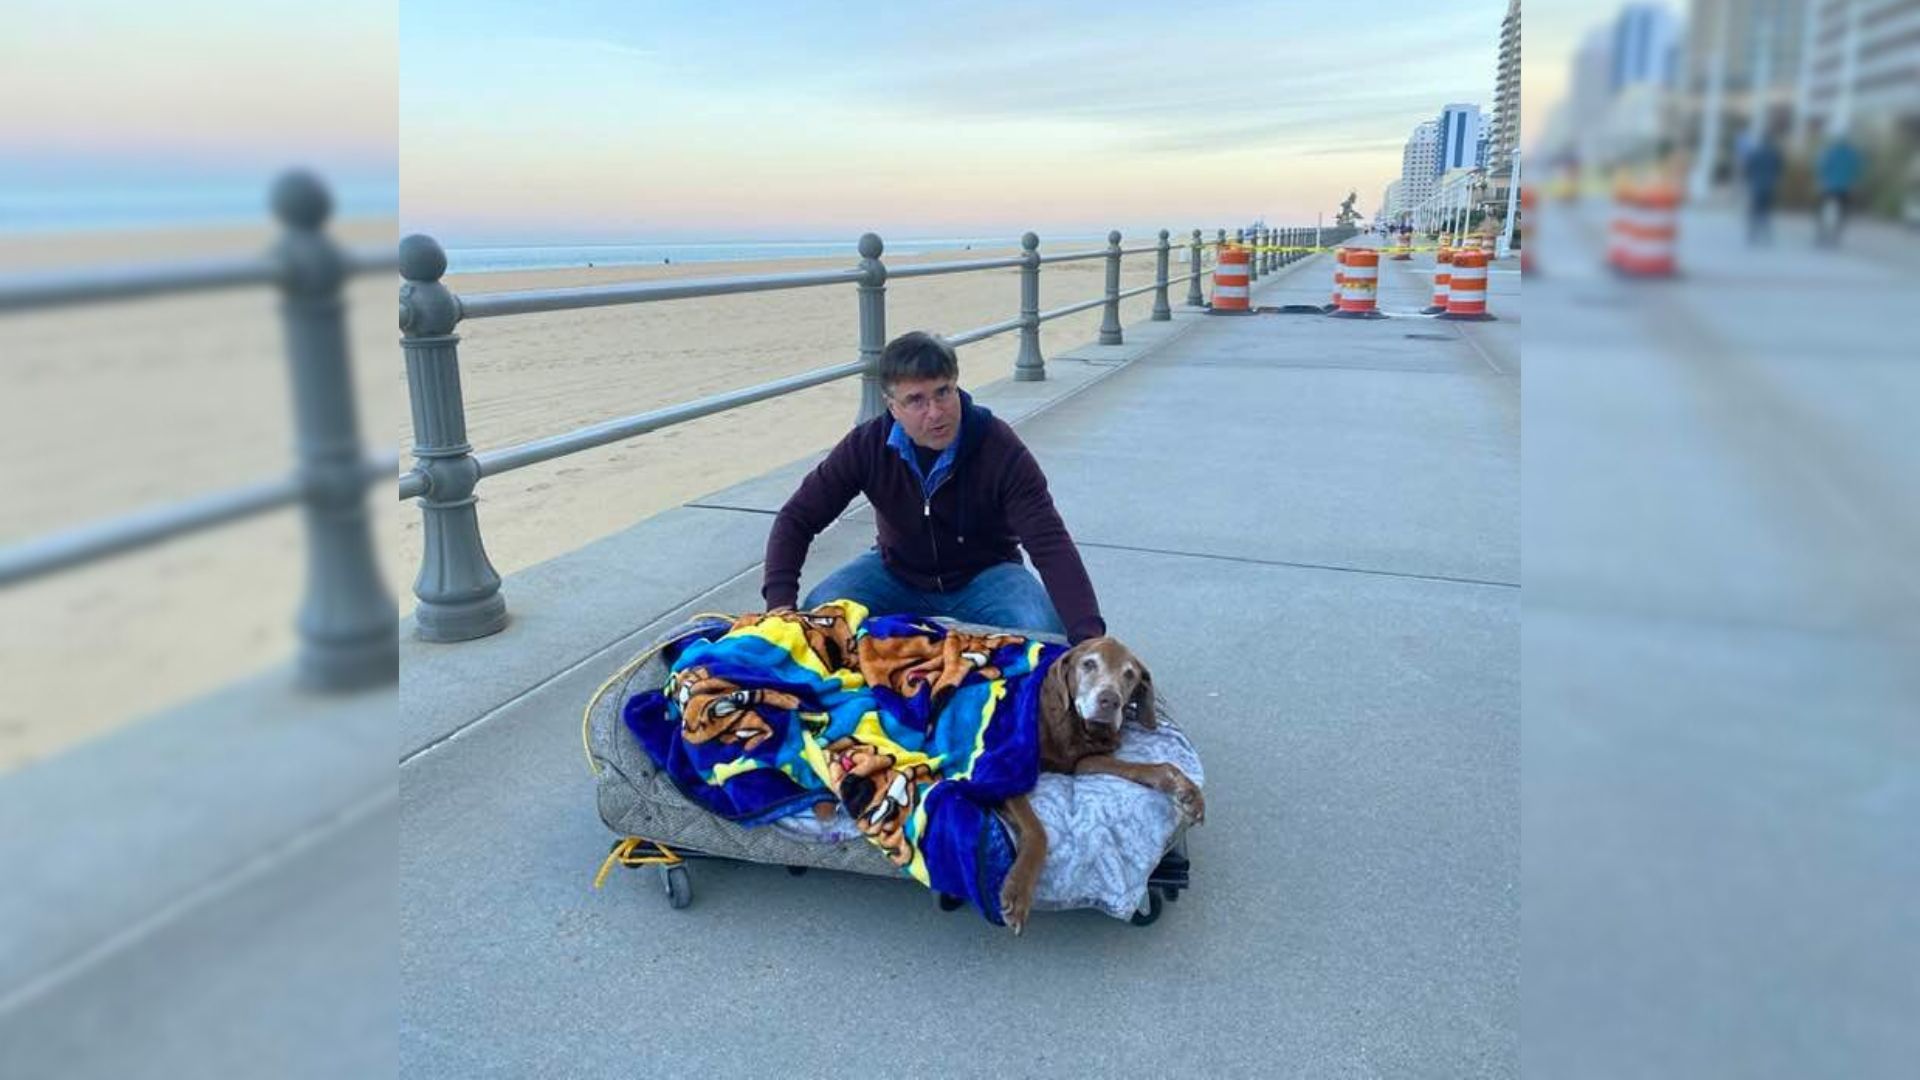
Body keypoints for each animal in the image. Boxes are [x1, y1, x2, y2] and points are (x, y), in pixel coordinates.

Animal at [998, 634, 1205, 930]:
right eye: (1089, 664)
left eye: (1129, 674)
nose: (1110, 700)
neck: (1076, 728)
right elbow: (1037, 829)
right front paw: (1018, 890)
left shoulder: (1086, 762)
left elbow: (1152, 768)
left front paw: (1187, 791)